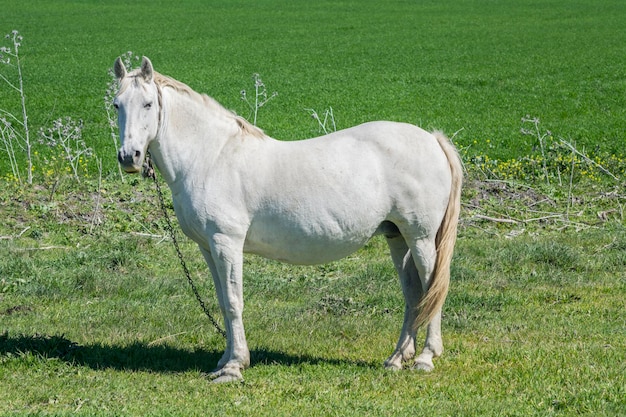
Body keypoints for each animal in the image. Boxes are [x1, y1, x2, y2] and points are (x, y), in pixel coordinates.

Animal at [114, 57, 460, 382]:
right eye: (117, 104)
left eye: (148, 104)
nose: (129, 157)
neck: (211, 157)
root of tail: (432, 140)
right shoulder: (208, 247)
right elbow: (223, 302)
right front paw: (224, 361)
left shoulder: (226, 242)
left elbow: (234, 301)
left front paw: (235, 366)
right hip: (397, 237)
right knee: (414, 295)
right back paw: (396, 359)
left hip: (421, 238)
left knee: (432, 289)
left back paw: (425, 358)